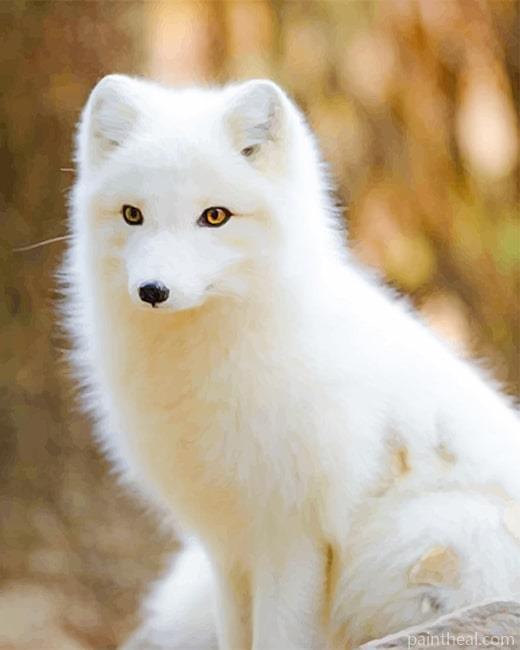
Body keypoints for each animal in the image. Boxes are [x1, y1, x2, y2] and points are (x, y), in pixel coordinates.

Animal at [63, 74, 520, 650]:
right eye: (132, 214)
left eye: (214, 216)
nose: (152, 291)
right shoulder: (227, 543)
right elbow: (236, 634)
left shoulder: (294, 535)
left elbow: (278, 635)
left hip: (425, 536)